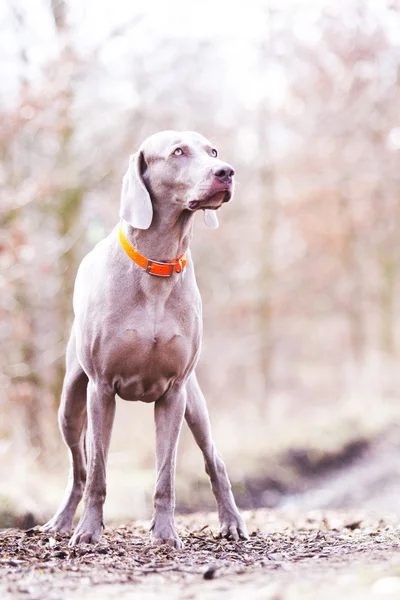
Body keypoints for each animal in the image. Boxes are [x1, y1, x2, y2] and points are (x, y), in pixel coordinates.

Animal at [40, 130, 247, 548]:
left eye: (213, 150)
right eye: (178, 151)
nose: (226, 171)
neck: (158, 265)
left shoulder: (174, 392)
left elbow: (166, 474)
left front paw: (165, 534)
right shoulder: (101, 388)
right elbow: (98, 471)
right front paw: (89, 531)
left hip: (194, 403)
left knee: (214, 459)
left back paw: (231, 522)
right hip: (69, 403)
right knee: (79, 468)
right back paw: (62, 521)